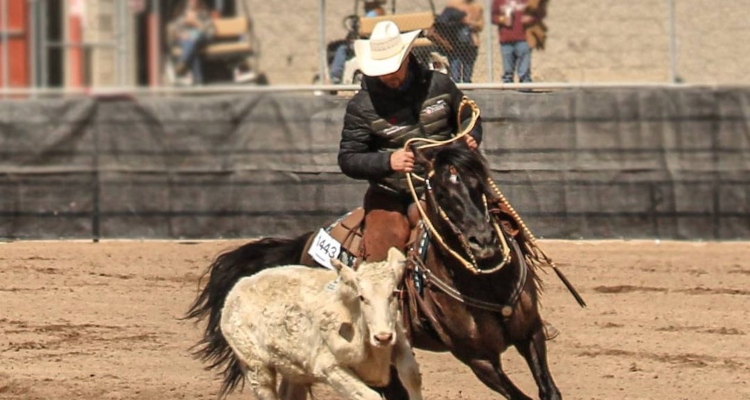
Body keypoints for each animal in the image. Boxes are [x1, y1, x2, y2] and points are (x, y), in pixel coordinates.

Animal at [187, 142, 580, 398]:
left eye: (479, 184)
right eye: (440, 193)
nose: (483, 242)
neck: (484, 285)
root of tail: (306, 242)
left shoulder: (530, 333)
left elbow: (549, 391)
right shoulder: (479, 360)